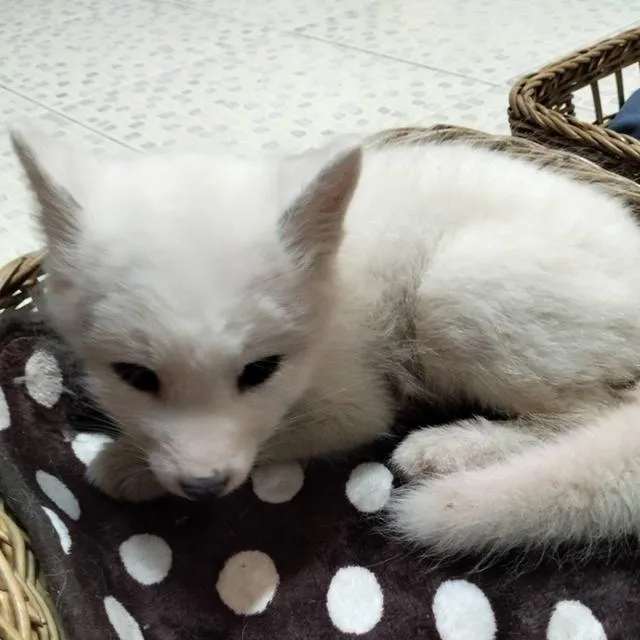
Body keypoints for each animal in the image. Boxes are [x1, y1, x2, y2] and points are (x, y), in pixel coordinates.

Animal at [11, 125, 640, 556]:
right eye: (136, 377)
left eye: (260, 370)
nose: (204, 487)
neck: (330, 286)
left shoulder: (356, 407)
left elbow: (281, 432)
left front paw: (124, 465)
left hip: (459, 286)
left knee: (588, 414)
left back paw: (450, 448)